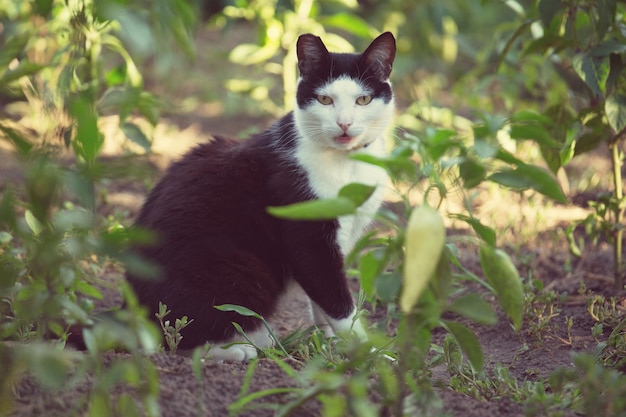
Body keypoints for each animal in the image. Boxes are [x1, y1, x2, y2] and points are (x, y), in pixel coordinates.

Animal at [127, 30, 394, 360]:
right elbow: (336, 300)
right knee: (177, 339)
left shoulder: (342, 239)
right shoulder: (308, 237)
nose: (344, 124)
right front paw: (372, 353)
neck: (347, 163)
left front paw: (331, 343)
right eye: (325, 99)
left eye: (363, 99)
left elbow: (321, 303)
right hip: (239, 273)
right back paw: (242, 348)